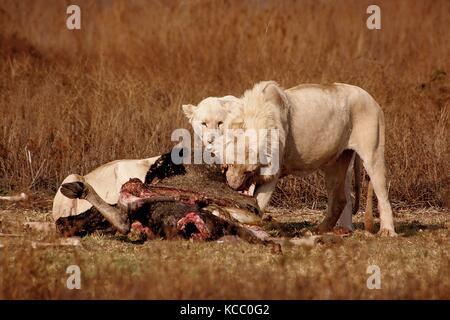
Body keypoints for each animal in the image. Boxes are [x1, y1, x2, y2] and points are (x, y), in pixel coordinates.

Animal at [224, 81, 394, 236]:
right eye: (230, 164)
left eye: (248, 171)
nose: (234, 186)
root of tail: (370, 98)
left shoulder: (271, 173)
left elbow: (259, 201)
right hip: (335, 162)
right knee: (340, 199)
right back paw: (321, 230)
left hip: (373, 152)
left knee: (382, 194)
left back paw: (387, 231)